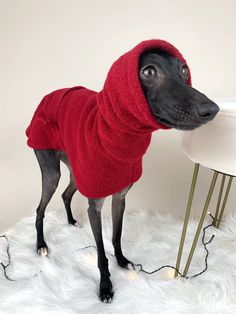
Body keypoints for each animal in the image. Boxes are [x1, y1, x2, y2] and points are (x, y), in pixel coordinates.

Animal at [31, 50, 219, 302]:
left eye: (184, 69)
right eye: (148, 71)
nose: (211, 110)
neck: (118, 137)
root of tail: (46, 97)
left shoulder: (120, 197)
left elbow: (117, 235)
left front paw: (122, 261)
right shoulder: (95, 205)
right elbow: (100, 252)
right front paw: (105, 286)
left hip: (76, 172)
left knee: (65, 194)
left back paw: (71, 221)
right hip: (51, 171)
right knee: (40, 209)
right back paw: (41, 245)